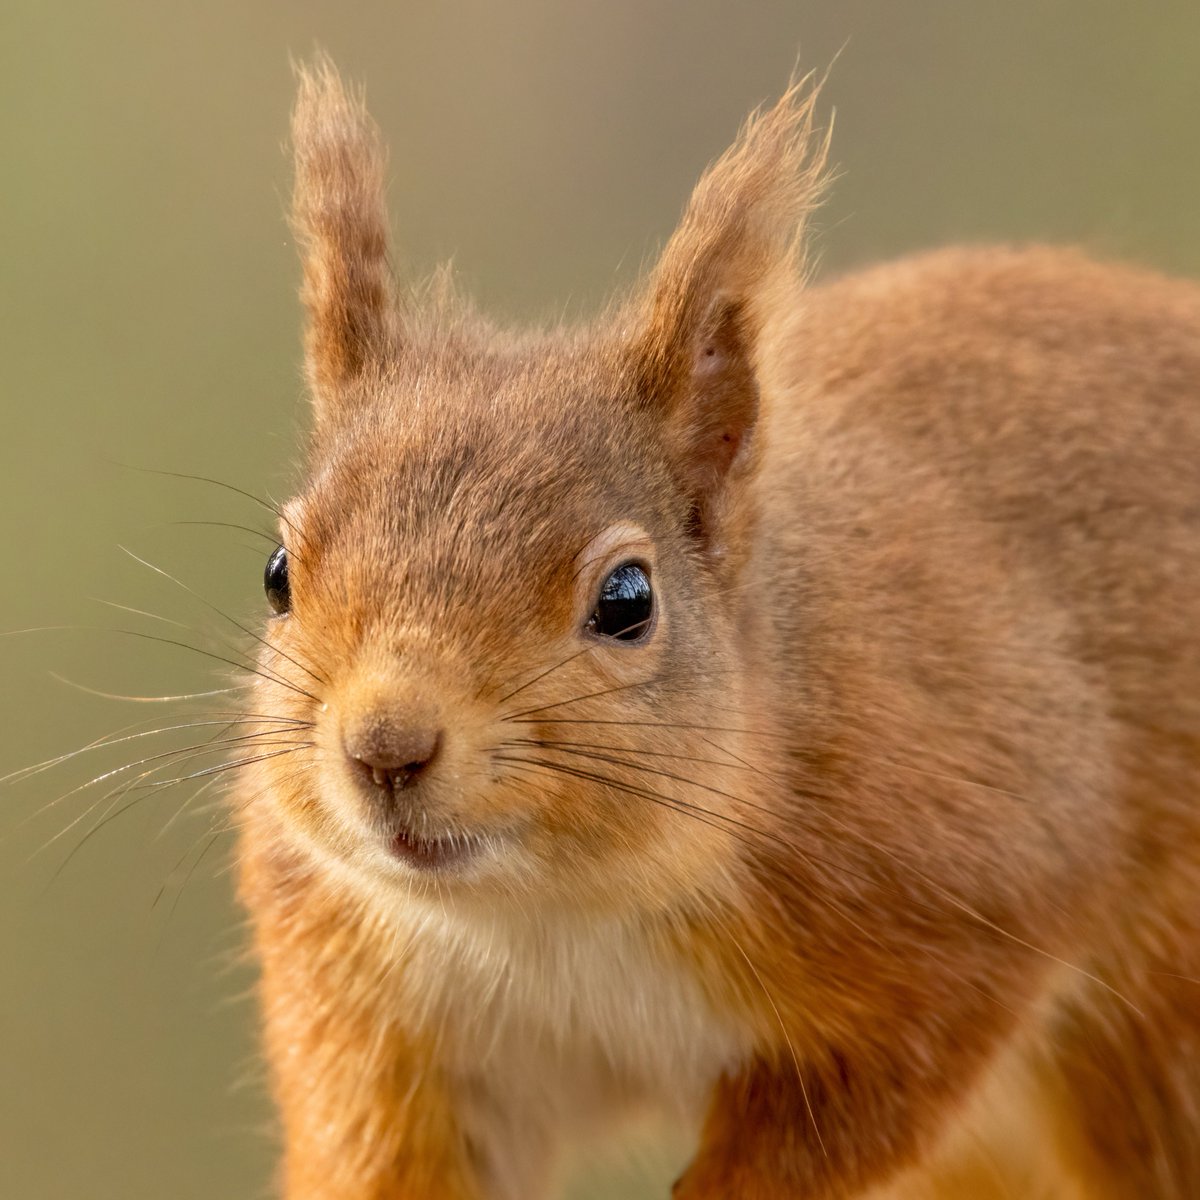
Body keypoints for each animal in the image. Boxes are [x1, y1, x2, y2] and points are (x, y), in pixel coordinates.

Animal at [233, 56, 1200, 1199]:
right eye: (278, 575)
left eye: (627, 600)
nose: (385, 747)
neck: (549, 914)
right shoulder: (373, 1018)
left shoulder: (970, 884)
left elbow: (864, 1100)